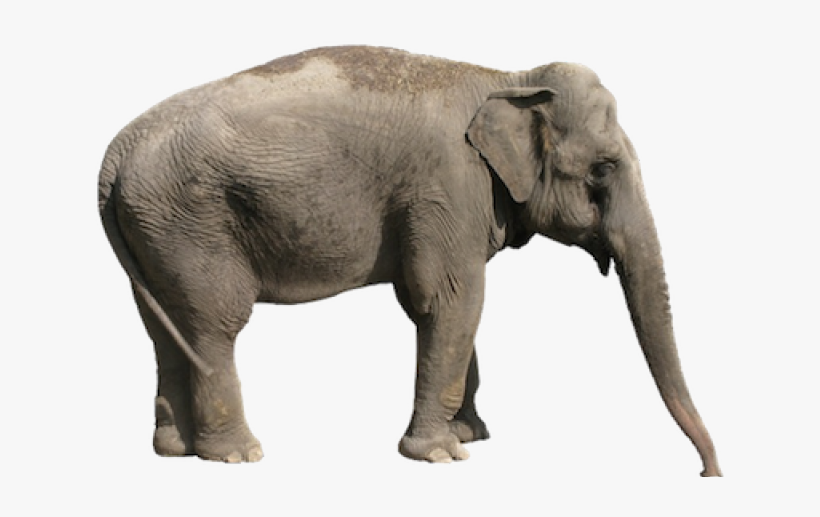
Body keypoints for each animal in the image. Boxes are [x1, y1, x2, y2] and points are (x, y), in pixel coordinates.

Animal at [98, 45, 721, 476]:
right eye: (603, 169)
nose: (708, 472)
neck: (509, 79)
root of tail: (115, 154)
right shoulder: (447, 187)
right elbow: (451, 299)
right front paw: (443, 455)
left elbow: (454, 307)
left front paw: (471, 436)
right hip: (190, 221)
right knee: (215, 324)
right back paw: (237, 456)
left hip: (154, 229)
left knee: (166, 328)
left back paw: (175, 450)